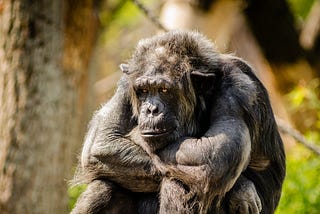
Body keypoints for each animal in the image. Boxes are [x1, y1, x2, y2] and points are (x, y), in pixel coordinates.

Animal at [70, 30, 284, 214]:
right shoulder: (126, 82)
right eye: (143, 91)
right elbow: (102, 142)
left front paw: (241, 188)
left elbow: (215, 154)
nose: (151, 109)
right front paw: (241, 187)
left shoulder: (239, 89)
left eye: (164, 90)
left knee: (184, 180)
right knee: (103, 187)